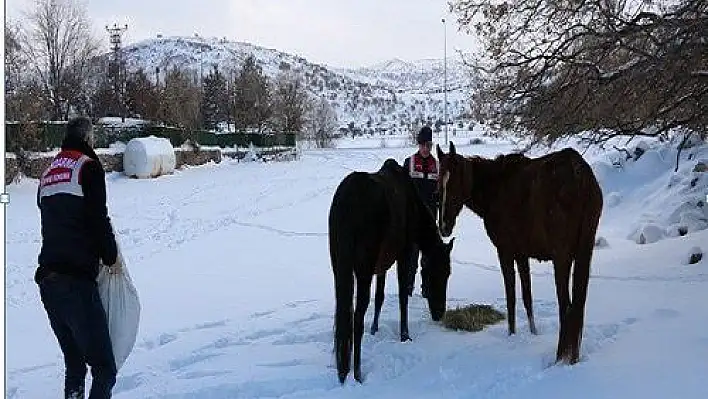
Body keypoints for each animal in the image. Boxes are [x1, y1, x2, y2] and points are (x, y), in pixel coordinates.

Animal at [330, 159, 454, 384]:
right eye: (441, 273)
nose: (439, 313)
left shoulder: (381, 265)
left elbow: (380, 296)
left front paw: (375, 328)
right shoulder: (404, 253)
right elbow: (403, 295)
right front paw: (405, 335)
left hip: (340, 267)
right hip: (363, 270)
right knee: (357, 317)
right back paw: (357, 373)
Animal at [436, 143, 604, 366]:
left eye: (455, 182)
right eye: (438, 185)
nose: (444, 227)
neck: (495, 189)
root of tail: (581, 176)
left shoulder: (505, 251)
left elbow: (511, 297)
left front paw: (511, 334)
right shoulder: (522, 254)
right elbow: (527, 296)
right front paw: (533, 333)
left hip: (563, 257)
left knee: (566, 306)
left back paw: (561, 357)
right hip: (585, 251)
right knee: (578, 306)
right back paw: (573, 357)